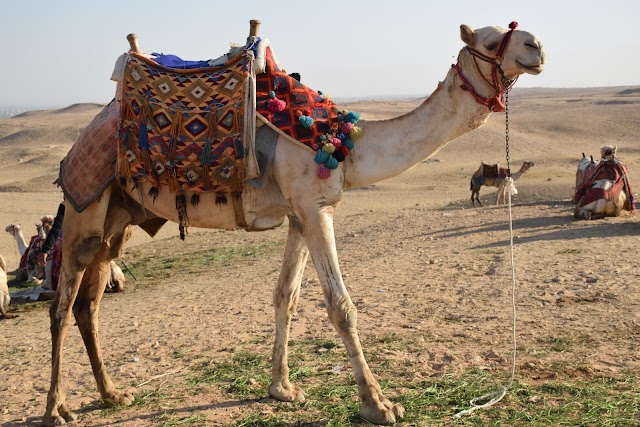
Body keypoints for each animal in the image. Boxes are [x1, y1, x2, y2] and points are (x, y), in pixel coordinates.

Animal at [45, 21, 544, 426]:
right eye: (492, 41)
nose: (536, 46)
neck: (344, 144)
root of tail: (77, 144)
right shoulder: (314, 210)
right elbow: (341, 306)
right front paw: (379, 405)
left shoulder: (302, 215)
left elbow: (285, 296)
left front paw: (282, 389)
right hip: (84, 207)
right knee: (62, 306)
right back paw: (57, 409)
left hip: (117, 219)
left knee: (89, 304)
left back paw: (112, 395)